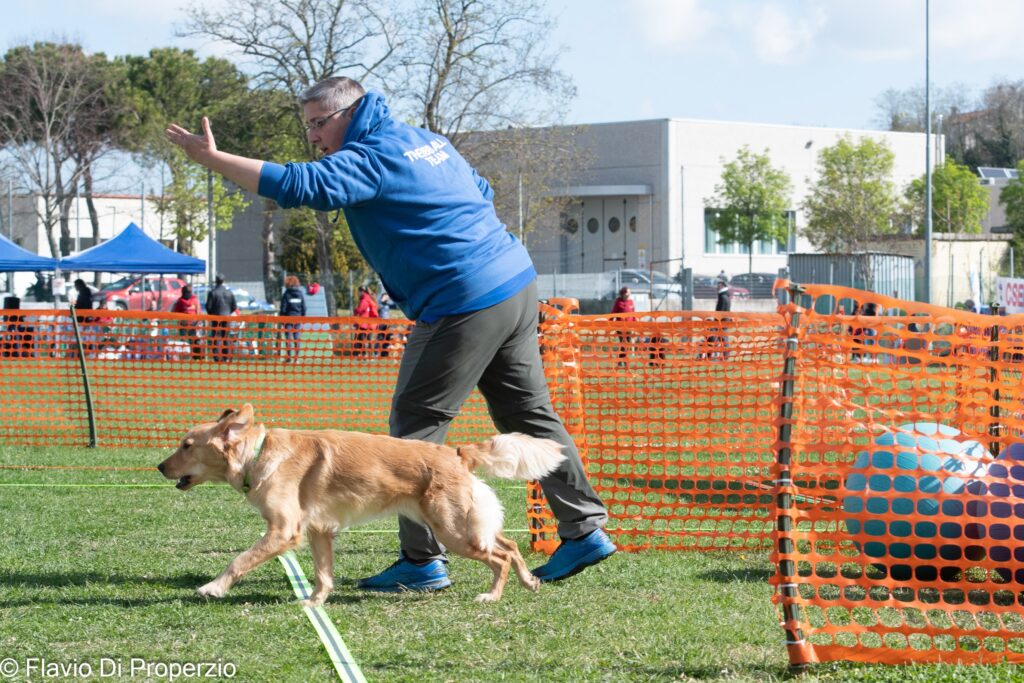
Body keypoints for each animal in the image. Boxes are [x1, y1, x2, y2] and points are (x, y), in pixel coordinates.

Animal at [157, 403, 569, 606]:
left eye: (187, 445)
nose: (160, 466)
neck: (258, 454)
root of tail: (455, 452)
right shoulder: (319, 530)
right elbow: (323, 573)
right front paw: (314, 602)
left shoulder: (284, 530)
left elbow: (239, 560)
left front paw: (213, 588)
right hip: (463, 524)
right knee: (510, 545)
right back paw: (530, 582)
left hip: (452, 529)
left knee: (499, 557)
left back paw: (492, 596)